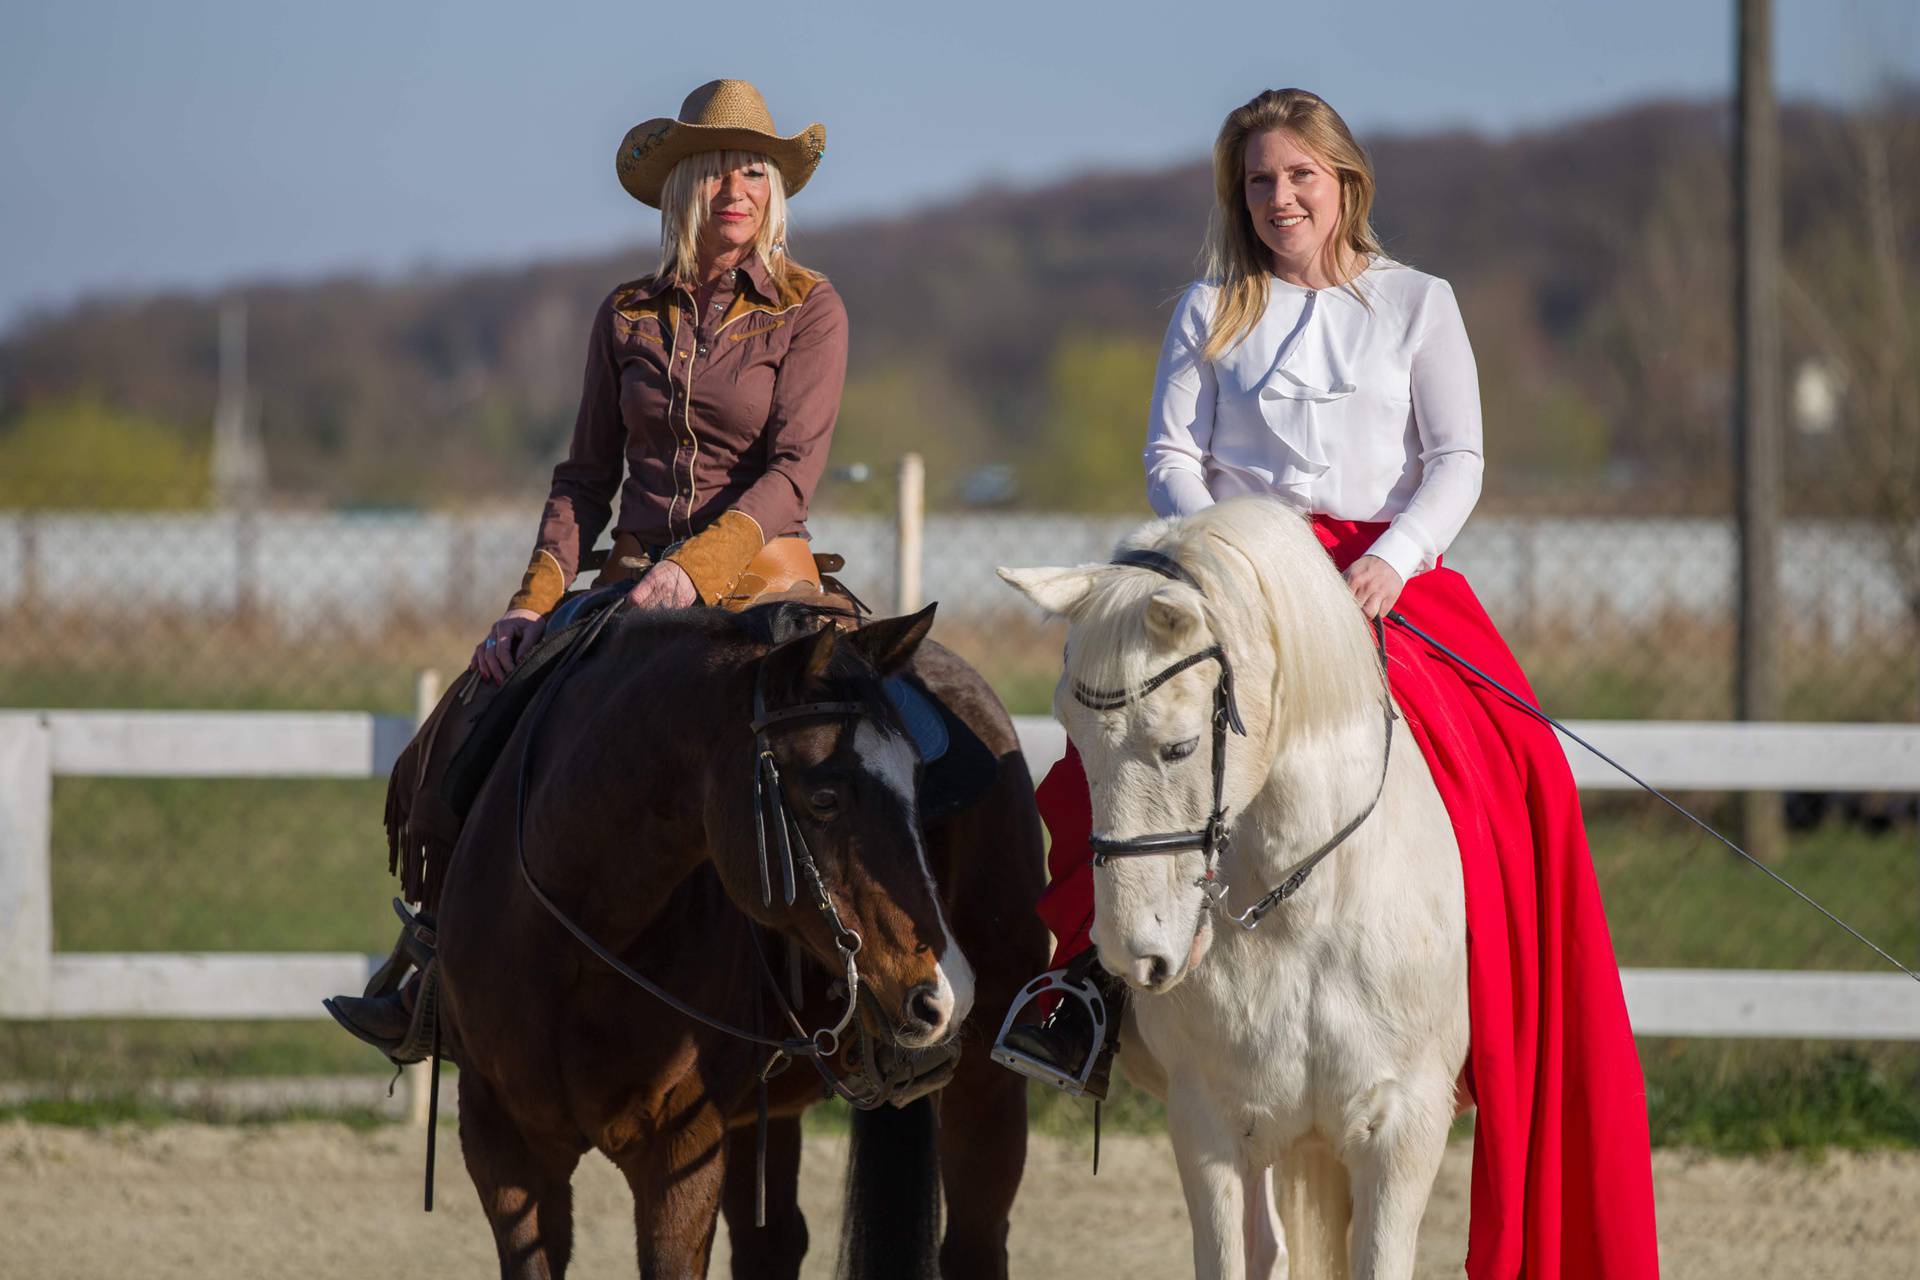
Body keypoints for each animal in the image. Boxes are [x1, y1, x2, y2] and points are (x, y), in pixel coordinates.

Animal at [435, 602, 1052, 1280]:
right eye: (824, 796)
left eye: (920, 786)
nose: (945, 995)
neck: (569, 948)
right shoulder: (503, 1147)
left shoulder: (681, 1153)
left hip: (988, 1087)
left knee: (975, 1242)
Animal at [998, 495, 1459, 1280]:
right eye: (1075, 743)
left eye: (1179, 745)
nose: (1132, 956)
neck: (1309, 911)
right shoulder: (1208, 1123)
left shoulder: (1405, 1132)